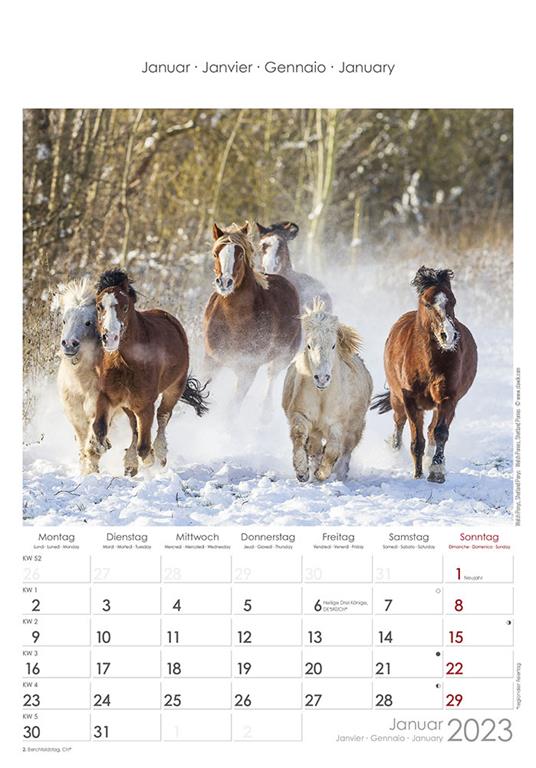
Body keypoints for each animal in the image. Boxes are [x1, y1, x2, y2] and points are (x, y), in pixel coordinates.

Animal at [52, 277, 103, 474]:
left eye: (88, 322)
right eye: (64, 321)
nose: (69, 344)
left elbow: (93, 441)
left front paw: (91, 471)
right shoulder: (73, 409)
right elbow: (82, 439)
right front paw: (84, 471)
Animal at [90, 269, 208, 476]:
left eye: (125, 307)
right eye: (99, 306)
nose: (109, 338)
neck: (125, 363)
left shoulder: (145, 404)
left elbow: (144, 446)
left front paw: (151, 459)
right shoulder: (108, 396)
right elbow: (99, 428)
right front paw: (102, 446)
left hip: (174, 389)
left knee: (163, 417)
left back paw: (160, 454)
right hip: (129, 403)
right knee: (134, 426)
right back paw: (130, 464)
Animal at [203, 222, 301, 413]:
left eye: (240, 254)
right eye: (216, 253)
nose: (224, 282)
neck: (233, 319)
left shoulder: (248, 367)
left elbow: (232, 409)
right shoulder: (211, 361)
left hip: (283, 356)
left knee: (271, 379)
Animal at [282, 298, 373, 482]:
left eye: (333, 345)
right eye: (309, 346)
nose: (322, 378)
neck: (322, 396)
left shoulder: (337, 424)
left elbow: (332, 450)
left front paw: (321, 473)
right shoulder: (301, 415)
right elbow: (300, 435)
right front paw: (302, 471)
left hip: (355, 428)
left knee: (346, 450)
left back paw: (339, 473)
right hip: (317, 430)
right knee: (315, 447)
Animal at [371, 266, 477, 484]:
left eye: (453, 301)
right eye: (427, 303)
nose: (449, 335)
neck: (428, 363)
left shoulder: (447, 398)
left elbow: (440, 433)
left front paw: (436, 471)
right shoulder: (410, 399)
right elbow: (416, 439)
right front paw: (418, 474)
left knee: (430, 430)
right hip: (397, 399)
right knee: (399, 422)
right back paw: (396, 453)